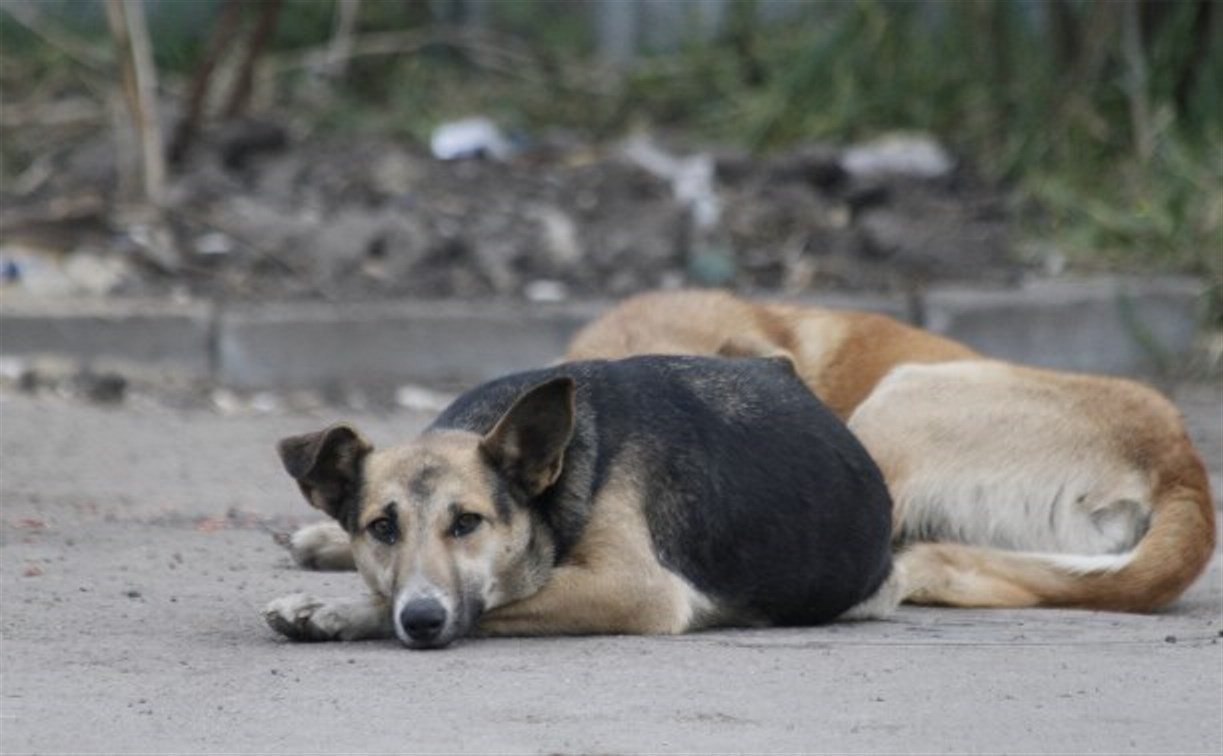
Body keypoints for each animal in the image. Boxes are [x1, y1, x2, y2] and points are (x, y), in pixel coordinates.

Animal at [265, 357, 900, 645]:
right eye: (382, 528)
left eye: (467, 522)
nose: (422, 619)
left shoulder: (632, 588)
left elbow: (497, 598)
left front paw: (339, 612)